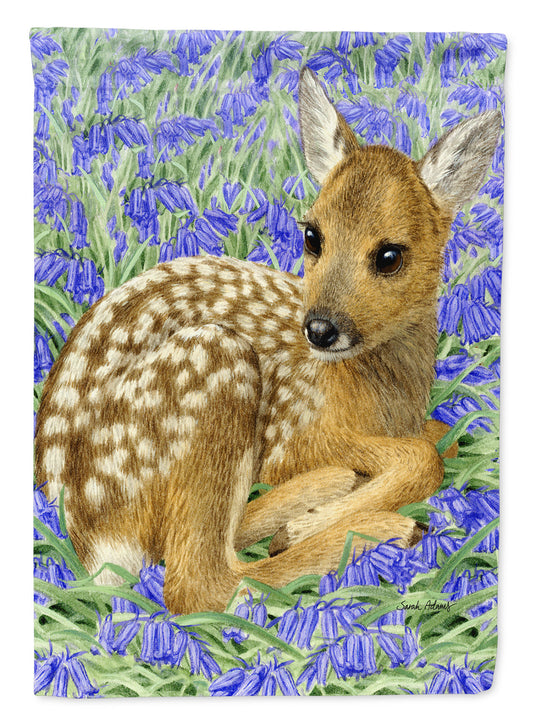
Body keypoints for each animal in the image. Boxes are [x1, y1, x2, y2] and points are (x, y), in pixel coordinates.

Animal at [35, 68, 501, 615]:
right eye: (312, 236)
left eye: (390, 255)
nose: (319, 328)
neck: (385, 398)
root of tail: (89, 540)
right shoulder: (296, 436)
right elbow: (422, 457)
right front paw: (311, 523)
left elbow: (443, 439)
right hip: (214, 366)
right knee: (198, 583)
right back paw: (373, 525)